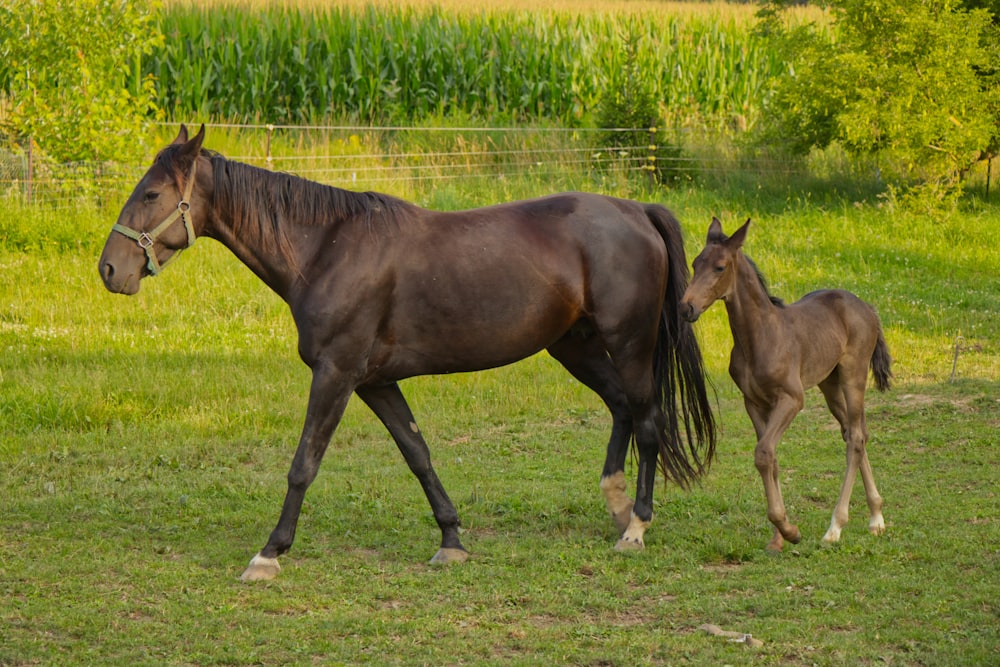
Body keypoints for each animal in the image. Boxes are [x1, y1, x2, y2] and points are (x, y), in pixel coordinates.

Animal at [99, 126, 712, 584]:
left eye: (151, 194)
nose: (109, 269)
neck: (326, 249)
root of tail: (636, 211)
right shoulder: (373, 382)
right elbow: (417, 454)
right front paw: (452, 539)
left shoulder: (336, 375)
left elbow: (304, 464)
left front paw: (268, 553)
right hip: (575, 346)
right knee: (622, 408)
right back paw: (616, 505)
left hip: (629, 344)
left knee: (649, 422)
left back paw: (635, 527)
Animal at [680, 219, 892, 552]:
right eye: (695, 263)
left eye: (719, 267)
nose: (686, 307)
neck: (759, 336)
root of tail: (868, 308)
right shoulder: (753, 402)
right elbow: (770, 458)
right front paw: (779, 536)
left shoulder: (792, 399)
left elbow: (764, 452)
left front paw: (789, 530)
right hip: (829, 383)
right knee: (854, 431)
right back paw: (876, 517)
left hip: (852, 375)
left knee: (856, 437)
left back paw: (836, 526)